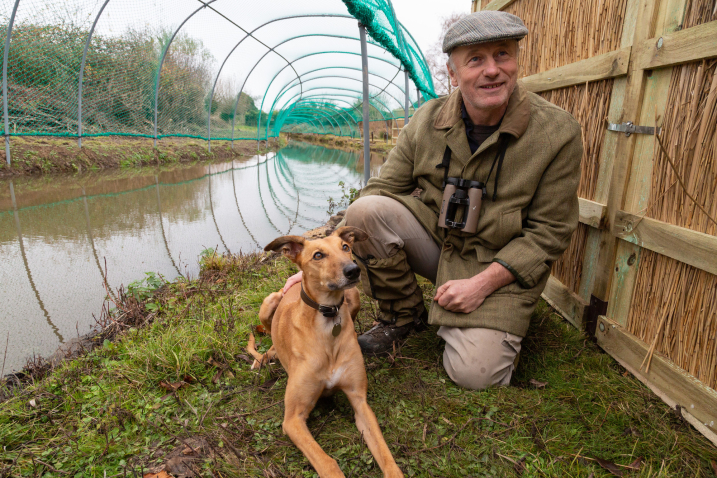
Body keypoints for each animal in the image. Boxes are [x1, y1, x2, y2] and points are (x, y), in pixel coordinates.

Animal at [246, 227, 402, 478]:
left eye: (345, 247)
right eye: (318, 255)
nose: (353, 270)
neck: (328, 326)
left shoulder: (359, 400)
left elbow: (385, 454)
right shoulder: (293, 419)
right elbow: (327, 462)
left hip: (354, 295)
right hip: (270, 301)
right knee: (270, 340)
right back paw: (263, 359)